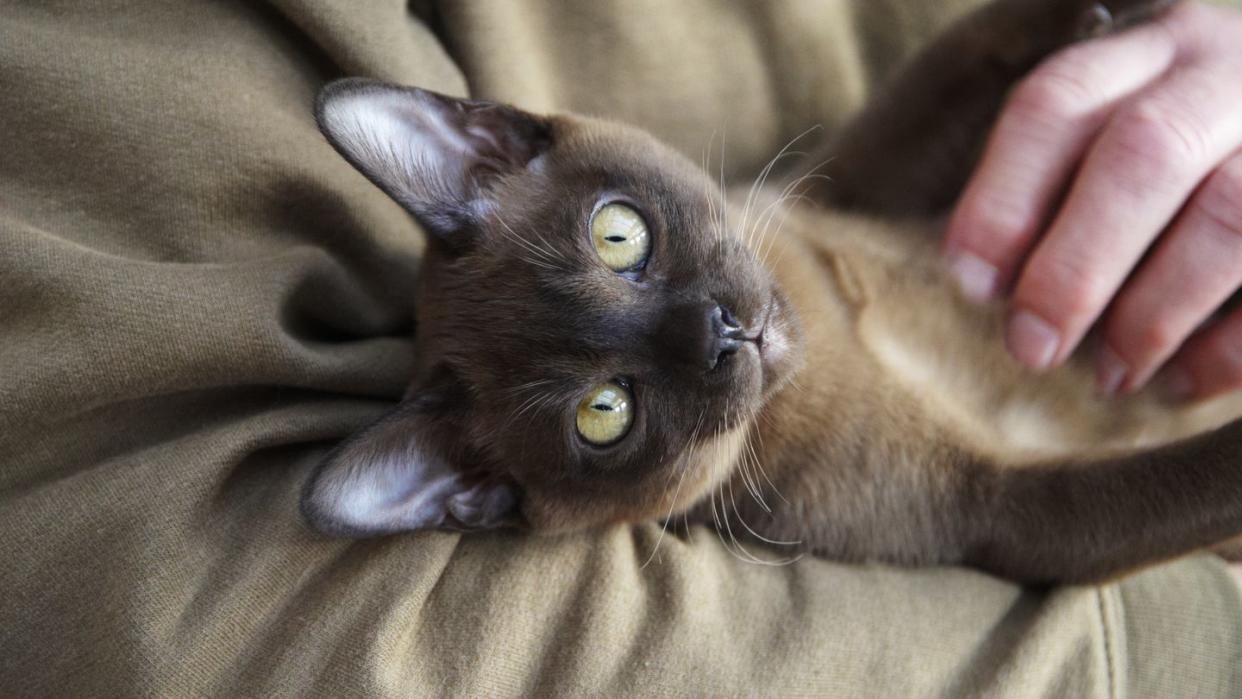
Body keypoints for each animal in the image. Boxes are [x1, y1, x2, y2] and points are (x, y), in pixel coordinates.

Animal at [300, 0, 1242, 583]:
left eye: (618, 237)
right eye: (605, 413)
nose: (720, 332)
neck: (830, 338)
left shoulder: (851, 185)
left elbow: (949, 67)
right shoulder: (1004, 503)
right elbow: (1194, 474)